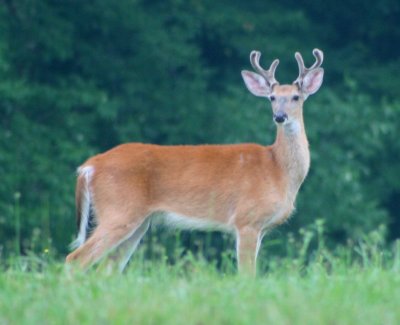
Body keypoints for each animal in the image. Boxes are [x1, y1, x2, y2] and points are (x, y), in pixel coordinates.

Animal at [65, 48, 322, 274]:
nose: (279, 116)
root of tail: (89, 166)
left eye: (296, 97)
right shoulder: (246, 220)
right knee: (75, 260)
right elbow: (247, 275)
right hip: (118, 211)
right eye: (272, 97)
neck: (277, 169)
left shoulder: (261, 228)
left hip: (139, 223)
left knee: (107, 270)